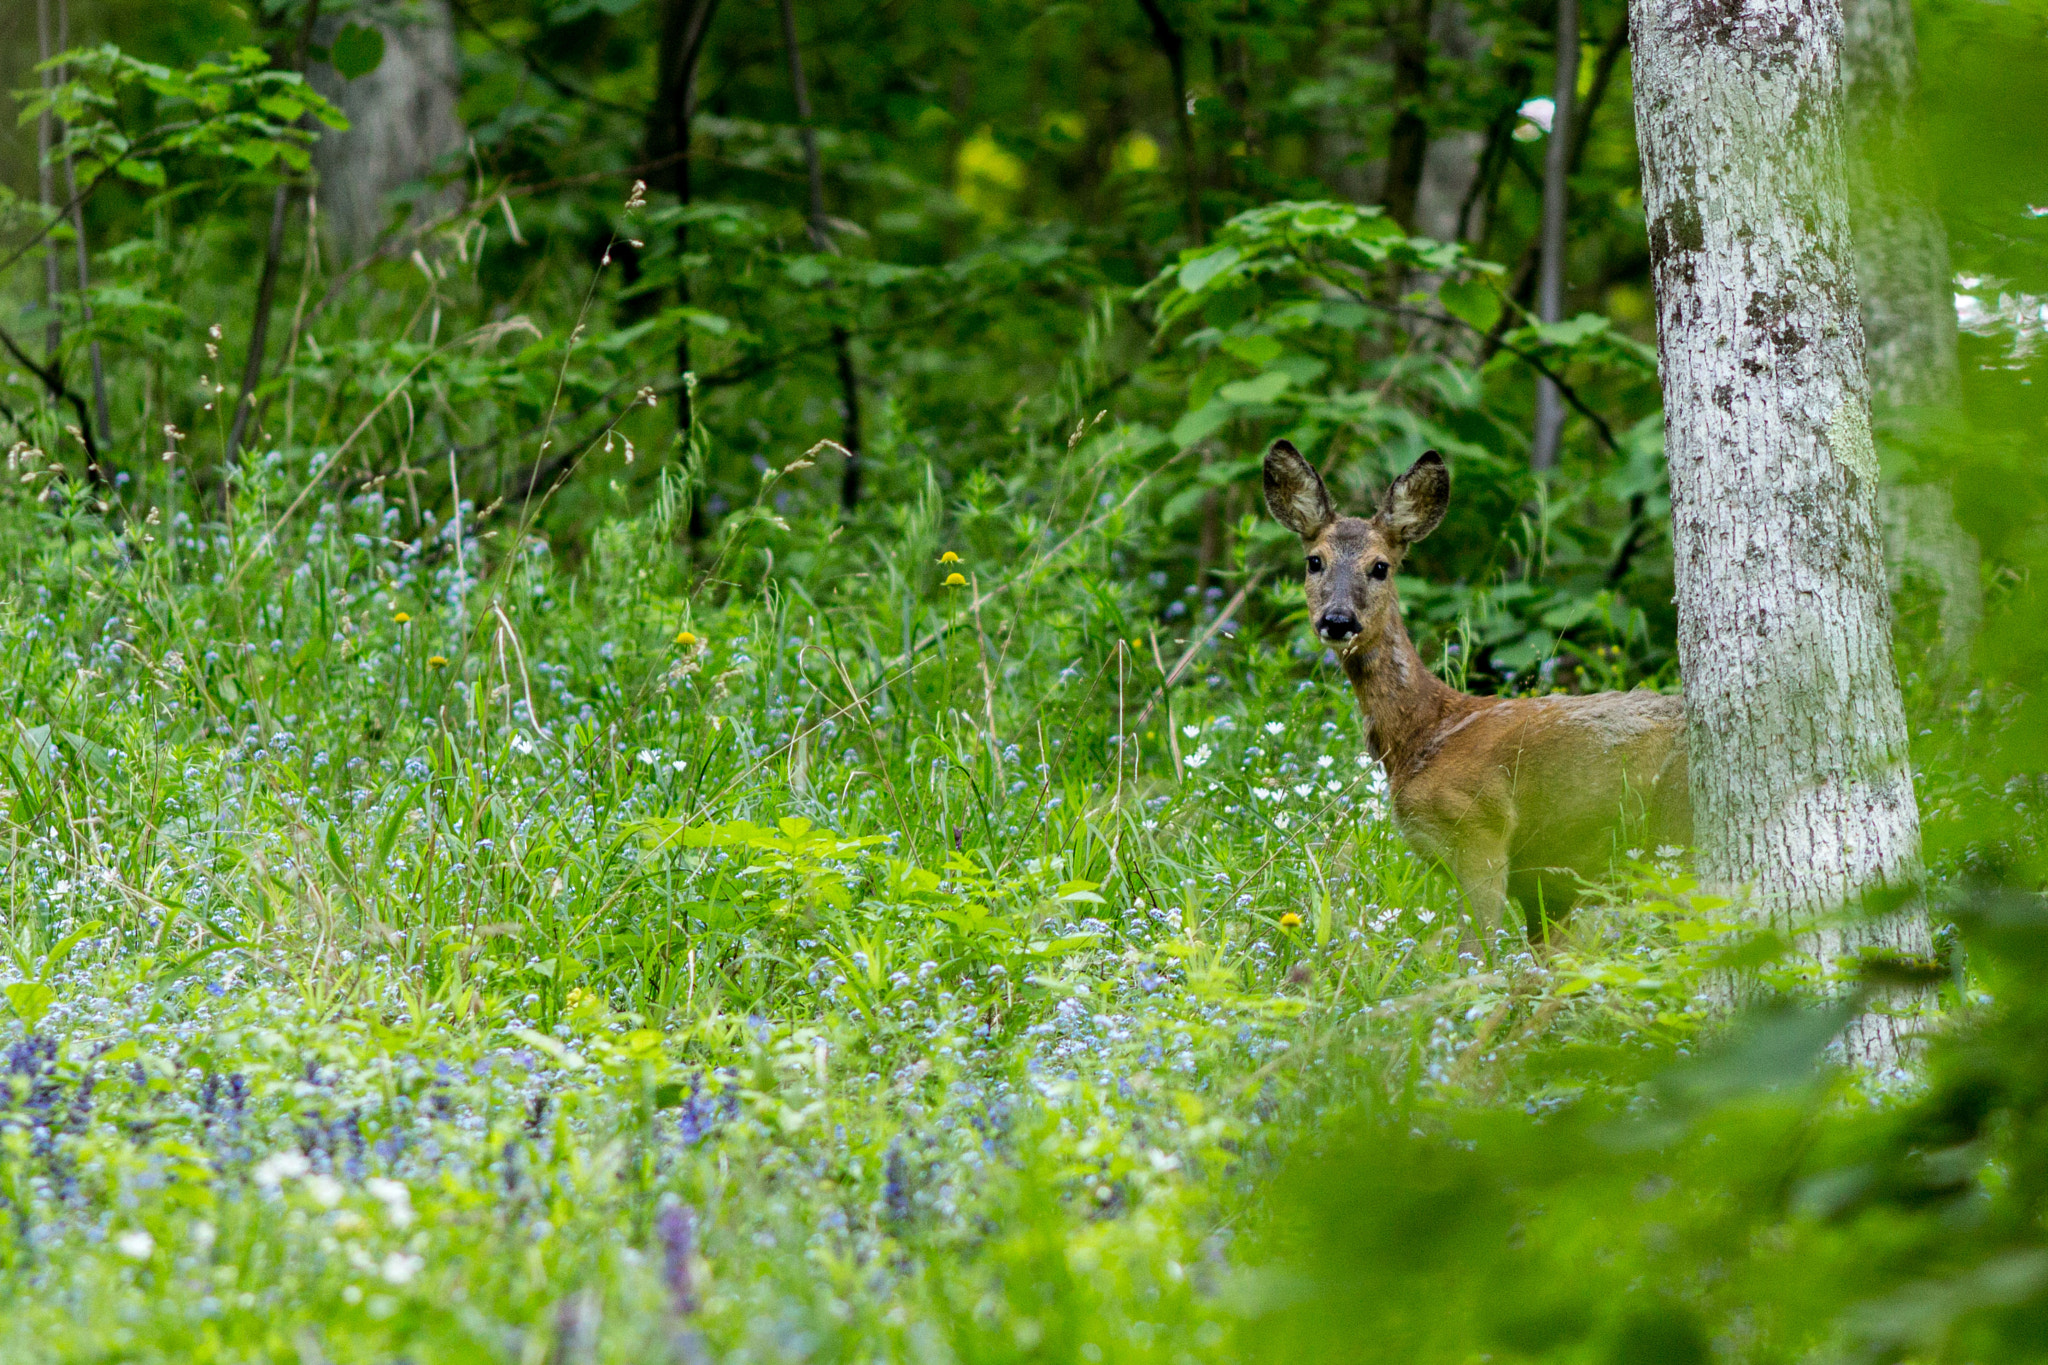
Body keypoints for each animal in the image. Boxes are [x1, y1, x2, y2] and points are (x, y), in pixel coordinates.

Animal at [1261, 444, 1695, 957]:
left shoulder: (1478, 827)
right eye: (1314, 561)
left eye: (1380, 566)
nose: (1338, 620)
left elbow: (1477, 951)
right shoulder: (1542, 879)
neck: (1423, 731)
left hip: (1674, 828)